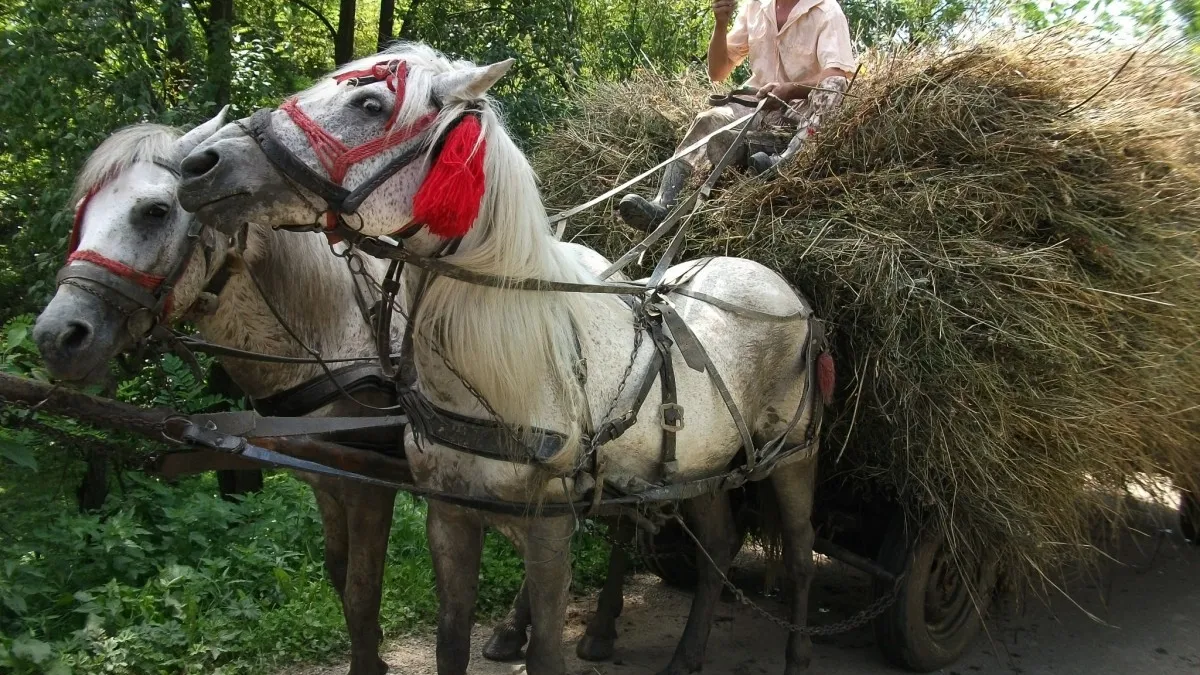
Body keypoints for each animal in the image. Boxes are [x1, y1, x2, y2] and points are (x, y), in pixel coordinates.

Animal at [177, 43, 820, 672]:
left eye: (370, 103)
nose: (198, 164)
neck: (505, 361)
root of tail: (780, 288)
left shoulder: (549, 527)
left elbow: (546, 655)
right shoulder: (450, 516)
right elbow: (450, 641)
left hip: (791, 457)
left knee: (800, 553)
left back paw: (794, 654)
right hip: (702, 467)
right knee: (719, 543)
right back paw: (685, 655)